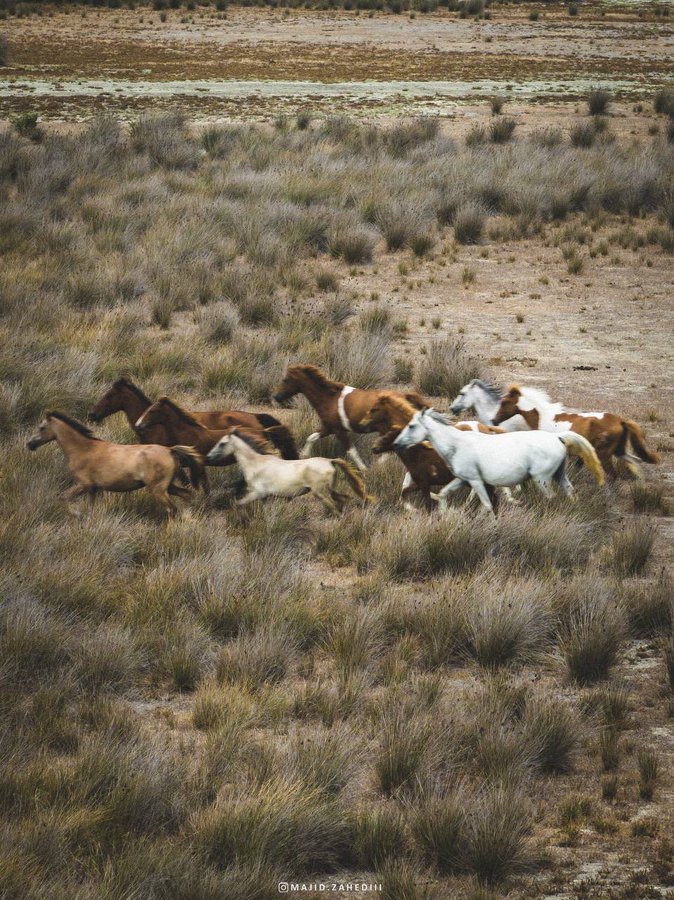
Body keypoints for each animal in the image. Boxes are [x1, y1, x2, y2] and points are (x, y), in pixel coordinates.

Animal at [27, 412, 201, 516]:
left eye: (41, 427)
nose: (30, 444)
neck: (83, 449)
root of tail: (170, 450)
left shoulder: (83, 485)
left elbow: (63, 497)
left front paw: (76, 514)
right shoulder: (93, 489)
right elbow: (89, 509)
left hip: (158, 489)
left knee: (171, 509)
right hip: (168, 486)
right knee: (186, 495)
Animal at [206, 430, 370, 512]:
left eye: (222, 443)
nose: (208, 457)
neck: (255, 464)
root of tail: (329, 461)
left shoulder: (257, 493)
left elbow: (238, 503)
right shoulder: (264, 497)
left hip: (320, 492)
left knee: (334, 507)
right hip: (330, 489)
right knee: (344, 499)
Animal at [392, 408, 600, 512]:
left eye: (411, 426)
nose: (396, 444)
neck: (457, 444)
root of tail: (557, 437)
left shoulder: (475, 481)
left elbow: (486, 503)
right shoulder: (463, 480)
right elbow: (443, 493)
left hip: (542, 479)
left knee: (551, 498)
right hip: (559, 475)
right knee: (570, 492)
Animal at [490, 384, 660, 482]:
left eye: (504, 402)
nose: (493, 420)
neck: (543, 416)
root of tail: (620, 421)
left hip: (605, 455)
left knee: (613, 475)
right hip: (619, 451)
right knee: (635, 462)